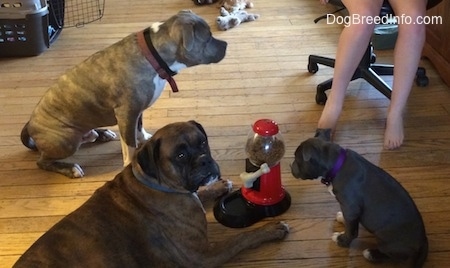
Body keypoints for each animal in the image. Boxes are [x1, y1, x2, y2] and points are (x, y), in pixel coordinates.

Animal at [14, 122, 290, 268]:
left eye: (203, 142)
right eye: (180, 155)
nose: (204, 160)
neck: (158, 183)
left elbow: (202, 195)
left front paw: (218, 187)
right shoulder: (201, 255)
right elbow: (242, 238)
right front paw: (271, 230)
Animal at [19, 9, 227, 178]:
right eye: (208, 37)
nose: (226, 44)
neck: (154, 55)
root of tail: (30, 124)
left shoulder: (138, 110)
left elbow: (139, 128)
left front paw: (145, 138)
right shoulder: (126, 113)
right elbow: (129, 145)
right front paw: (130, 162)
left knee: (87, 137)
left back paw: (101, 133)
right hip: (66, 141)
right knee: (43, 161)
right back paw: (70, 168)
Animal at [290, 138, 428, 268]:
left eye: (297, 159)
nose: (290, 166)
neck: (336, 165)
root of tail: (423, 241)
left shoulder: (351, 208)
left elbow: (351, 231)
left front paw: (342, 240)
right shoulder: (349, 211)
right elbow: (349, 222)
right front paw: (342, 218)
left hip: (387, 241)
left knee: (392, 256)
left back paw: (371, 254)